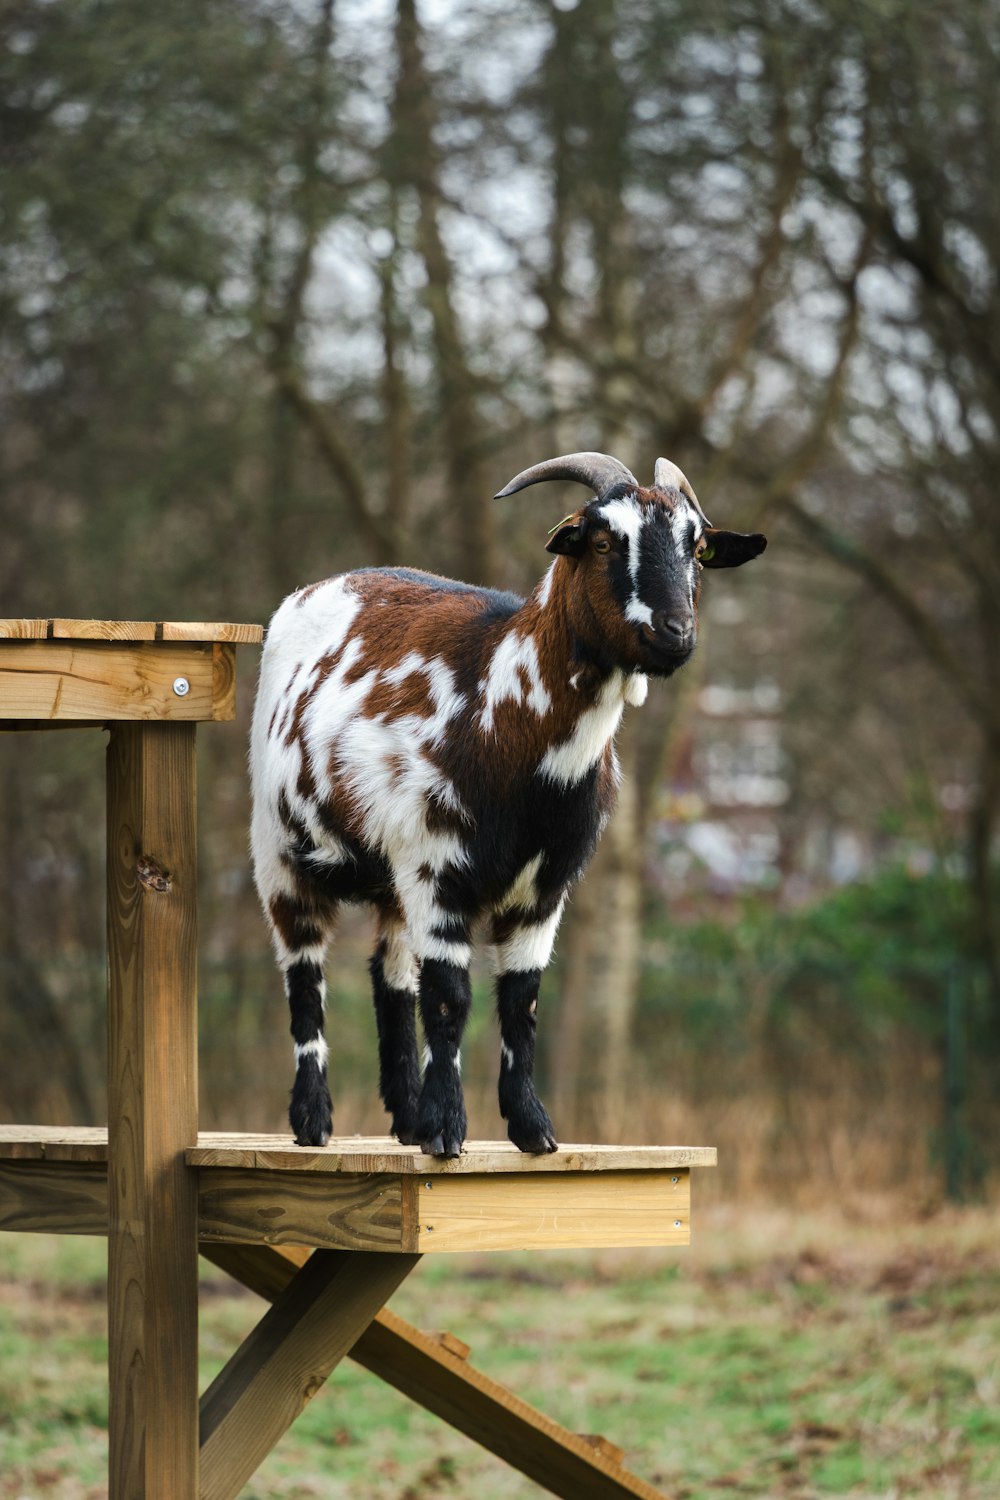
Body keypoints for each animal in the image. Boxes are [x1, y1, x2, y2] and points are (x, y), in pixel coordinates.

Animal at [250, 450, 767, 1152]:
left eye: (697, 546)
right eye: (602, 539)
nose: (675, 633)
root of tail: (312, 592)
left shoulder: (543, 891)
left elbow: (521, 1001)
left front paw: (530, 1127)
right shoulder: (437, 870)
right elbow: (450, 999)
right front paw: (447, 1129)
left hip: (392, 884)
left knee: (391, 975)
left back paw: (404, 1117)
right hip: (280, 854)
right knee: (304, 975)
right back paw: (314, 1119)